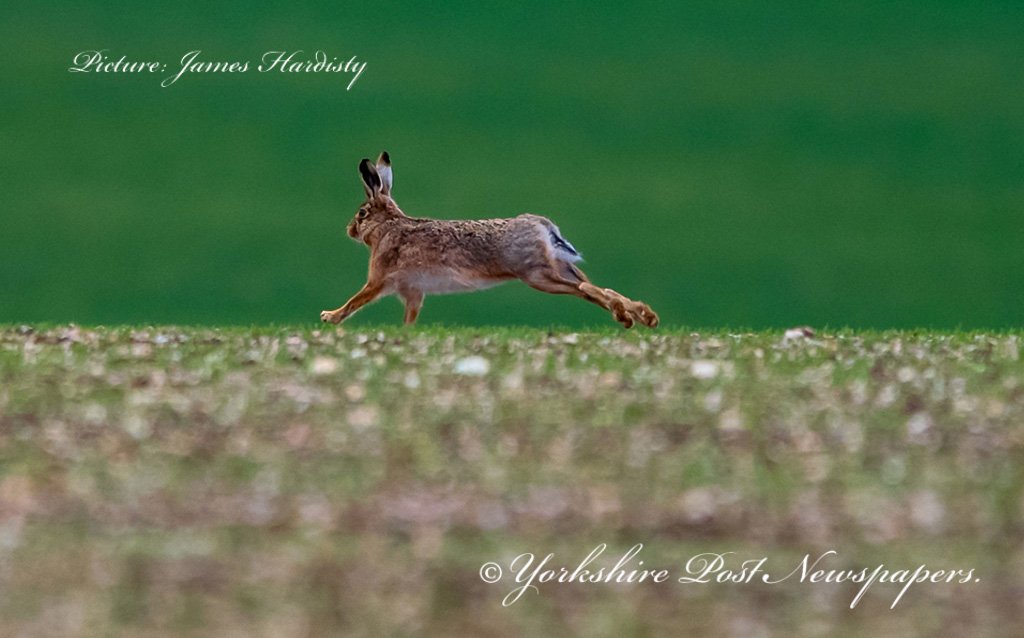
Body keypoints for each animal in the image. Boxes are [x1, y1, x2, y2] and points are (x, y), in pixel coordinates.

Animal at [319, 151, 659, 328]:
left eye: (362, 213)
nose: (350, 230)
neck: (388, 226)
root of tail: (542, 226)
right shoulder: (413, 292)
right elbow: (410, 317)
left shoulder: (378, 280)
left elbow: (356, 300)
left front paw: (330, 317)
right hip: (558, 268)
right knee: (591, 287)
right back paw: (639, 316)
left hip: (538, 275)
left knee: (584, 290)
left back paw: (627, 315)